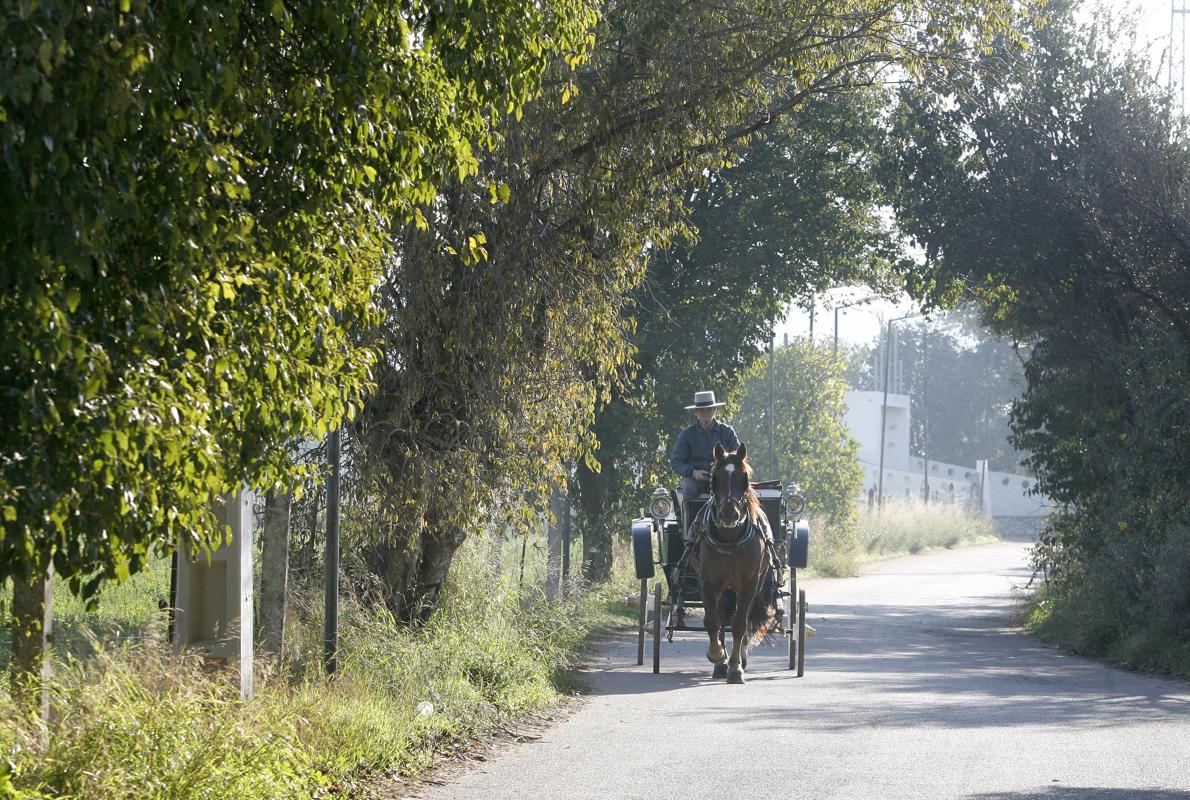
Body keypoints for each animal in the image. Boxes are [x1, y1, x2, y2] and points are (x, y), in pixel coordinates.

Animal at [694, 440, 780, 685]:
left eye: (744, 478)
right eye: (715, 477)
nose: (729, 514)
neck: (730, 539)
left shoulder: (749, 583)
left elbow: (740, 624)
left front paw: (735, 668)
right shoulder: (708, 582)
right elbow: (712, 621)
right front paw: (717, 655)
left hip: (753, 585)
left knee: (744, 618)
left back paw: (740, 659)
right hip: (724, 588)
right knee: (722, 617)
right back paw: (720, 663)